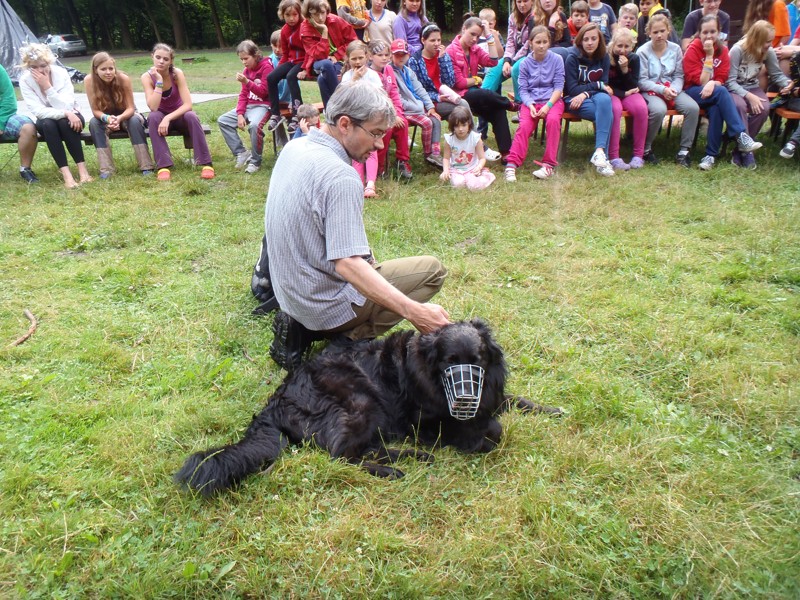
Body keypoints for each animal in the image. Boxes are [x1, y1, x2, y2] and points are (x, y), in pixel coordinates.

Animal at [177, 322, 564, 494]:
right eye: (448, 362)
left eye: (478, 360)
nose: (466, 399)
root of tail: (275, 401)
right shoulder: (424, 423)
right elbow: (493, 429)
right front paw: (480, 439)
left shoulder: (489, 393)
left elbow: (511, 401)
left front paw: (550, 409)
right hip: (363, 401)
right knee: (342, 455)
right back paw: (395, 469)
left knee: (364, 449)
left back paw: (412, 458)